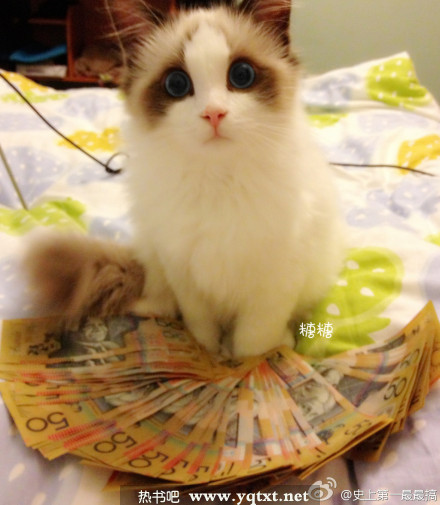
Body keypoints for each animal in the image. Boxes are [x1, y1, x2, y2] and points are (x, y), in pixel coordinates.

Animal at [25, 0, 343, 357]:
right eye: (177, 84)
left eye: (241, 76)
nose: (214, 113)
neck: (218, 180)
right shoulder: (183, 270)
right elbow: (201, 328)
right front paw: (206, 356)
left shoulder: (275, 280)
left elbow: (252, 343)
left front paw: (249, 363)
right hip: (154, 256)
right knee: (160, 301)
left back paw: (287, 342)